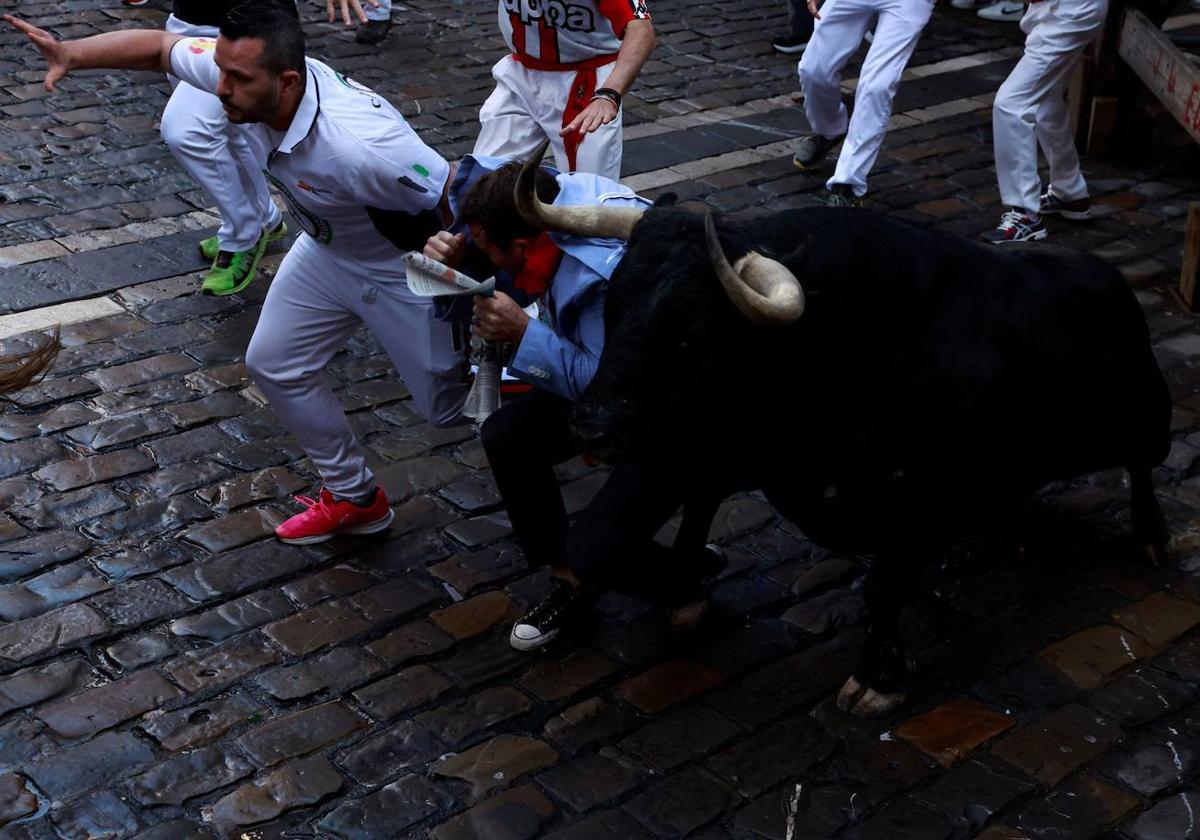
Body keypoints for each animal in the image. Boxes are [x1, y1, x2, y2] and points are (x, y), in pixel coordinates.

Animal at [518, 174, 1171, 720]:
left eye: (692, 334)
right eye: (613, 304)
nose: (592, 427)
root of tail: (1108, 278)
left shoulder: (932, 492)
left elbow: (883, 586)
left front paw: (878, 679)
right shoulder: (726, 449)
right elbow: (677, 517)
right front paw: (685, 588)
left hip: (1146, 419)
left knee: (1143, 468)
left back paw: (1150, 540)